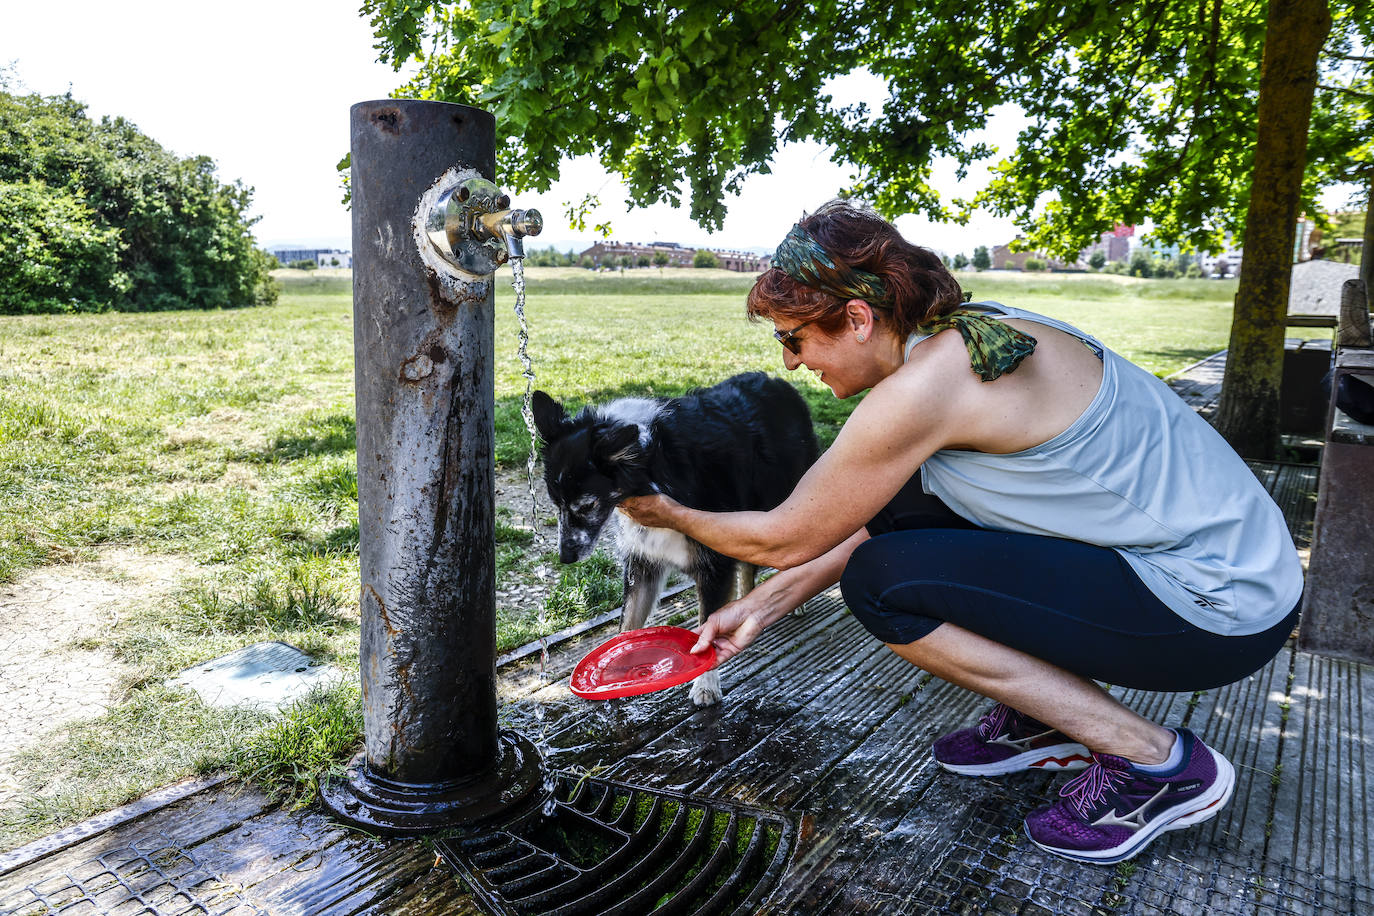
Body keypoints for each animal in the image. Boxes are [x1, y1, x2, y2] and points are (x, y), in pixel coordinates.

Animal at [533, 373, 813, 708]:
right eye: (555, 503)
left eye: (587, 505)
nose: (565, 557)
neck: (652, 462)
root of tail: (779, 382)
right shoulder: (643, 561)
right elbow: (628, 623)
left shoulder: (715, 565)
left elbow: (706, 634)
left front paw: (705, 686)